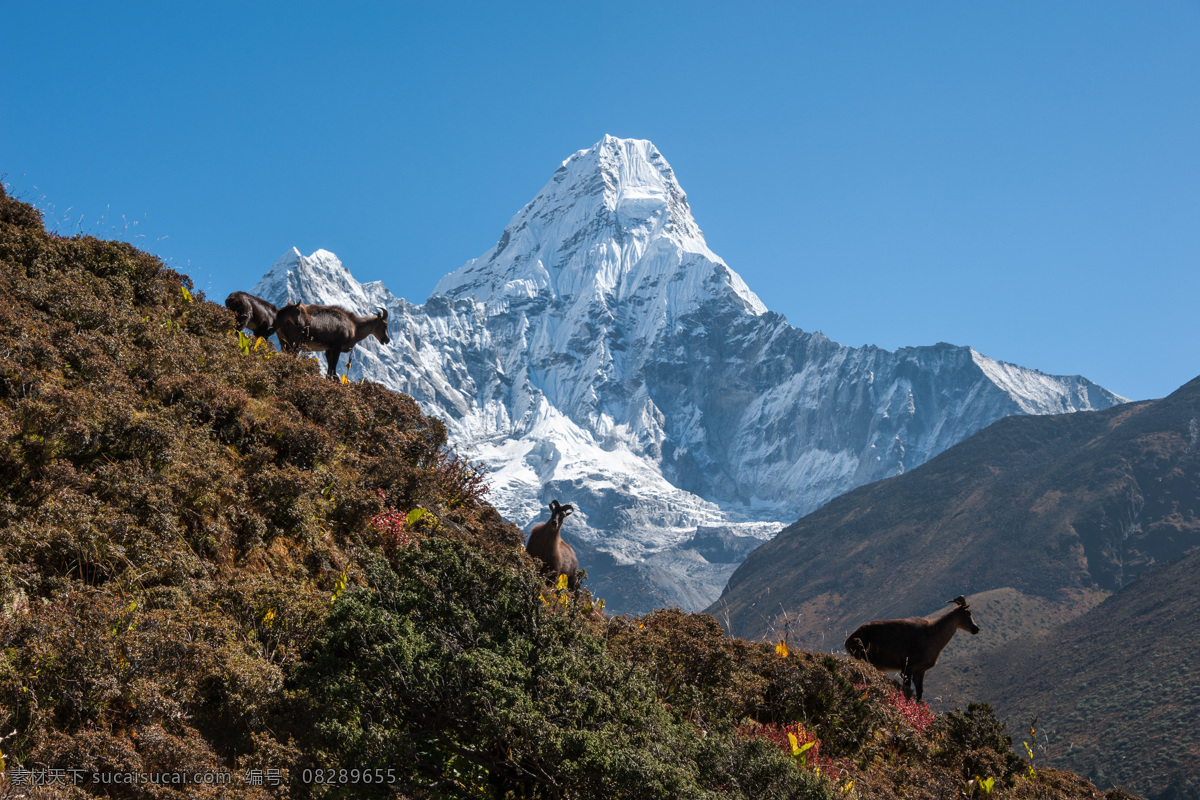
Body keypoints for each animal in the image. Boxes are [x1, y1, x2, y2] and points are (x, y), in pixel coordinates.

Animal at [840, 594, 979, 700]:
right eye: (967, 613)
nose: (976, 629)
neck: (932, 635)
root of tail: (849, 640)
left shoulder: (920, 671)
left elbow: (920, 692)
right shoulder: (907, 667)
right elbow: (907, 689)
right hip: (863, 657)